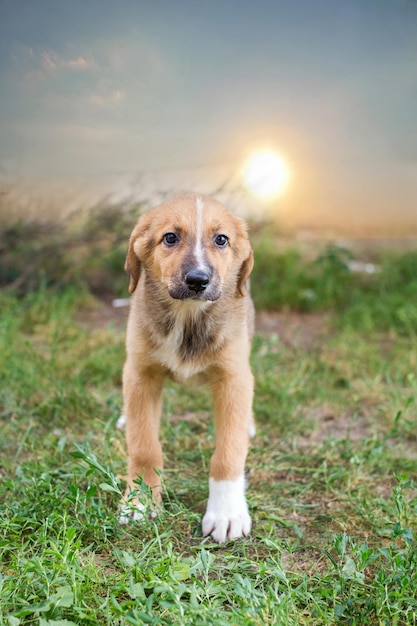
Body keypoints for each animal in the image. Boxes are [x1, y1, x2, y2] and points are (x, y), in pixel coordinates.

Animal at [119, 191, 254, 540]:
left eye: (221, 239)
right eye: (170, 237)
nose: (197, 280)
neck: (187, 318)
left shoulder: (234, 378)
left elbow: (229, 452)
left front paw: (226, 512)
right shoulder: (141, 375)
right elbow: (144, 447)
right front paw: (139, 500)